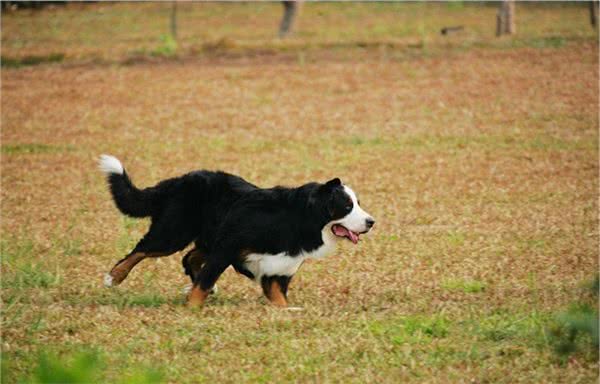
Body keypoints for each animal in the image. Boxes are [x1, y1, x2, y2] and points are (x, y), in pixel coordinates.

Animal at [99, 154, 376, 308]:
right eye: (347, 206)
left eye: (358, 203)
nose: (371, 222)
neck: (297, 219)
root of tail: (179, 180)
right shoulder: (228, 248)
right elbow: (204, 282)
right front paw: (191, 308)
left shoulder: (278, 269)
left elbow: (280, 301)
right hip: (174, 233)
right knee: (141, 250)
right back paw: (114, 277)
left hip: (209, 236)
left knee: (189, 257)